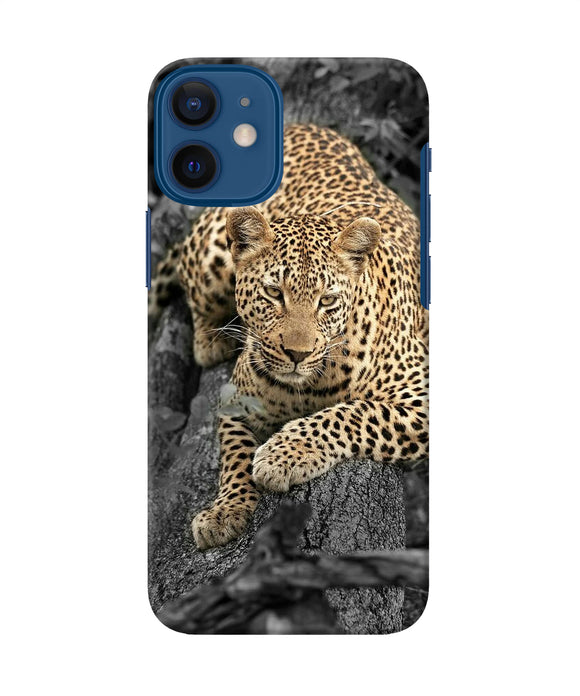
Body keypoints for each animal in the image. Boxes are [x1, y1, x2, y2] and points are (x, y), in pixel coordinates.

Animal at [151, 123, 429, 550]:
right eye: (273, 293)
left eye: (326, 300)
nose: (297, 354)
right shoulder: (235, 401)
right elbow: (234, 455)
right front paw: (225, 511)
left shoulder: (422, 395)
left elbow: (354, 413)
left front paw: (283, 455)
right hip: (212, 254)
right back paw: (212, 340)